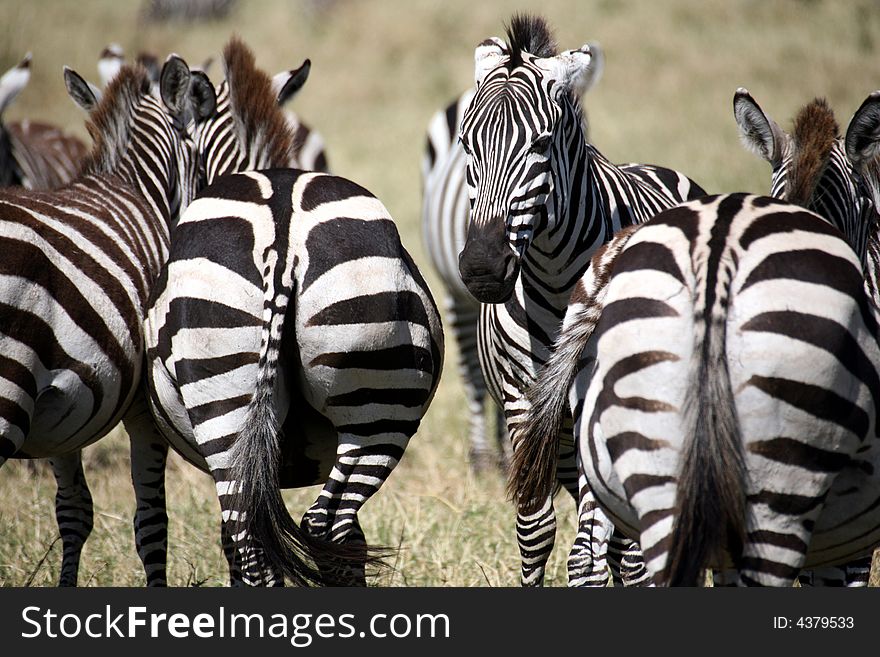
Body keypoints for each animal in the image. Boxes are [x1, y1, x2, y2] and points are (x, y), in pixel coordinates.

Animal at [458, 11, 704, 584]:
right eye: (465, 142)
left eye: (542, 144)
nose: (482, 269)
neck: (553, 280)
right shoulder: (522, 402)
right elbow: (535, 531)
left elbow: (594, 549)